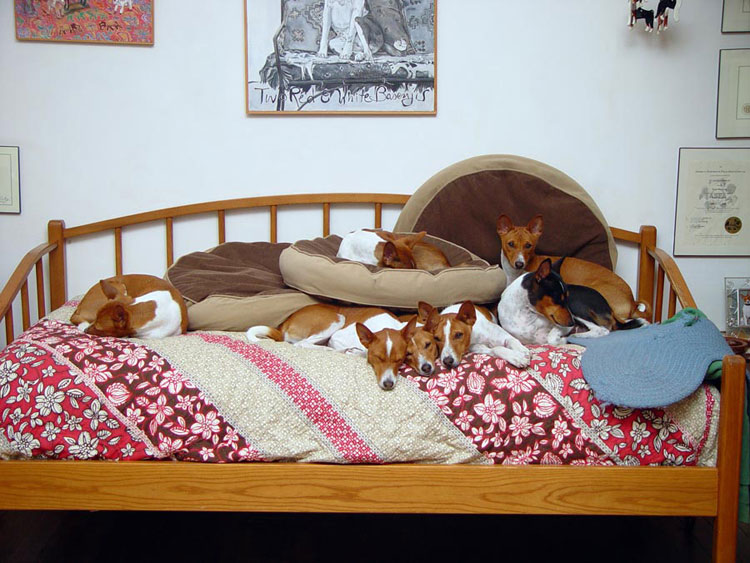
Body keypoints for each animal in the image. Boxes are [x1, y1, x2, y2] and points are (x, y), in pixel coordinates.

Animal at [246, 303, 437, 390]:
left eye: (400, 360)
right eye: (378, 358)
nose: (389, 384)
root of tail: (284, 324)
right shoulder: (337, 338)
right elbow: (361, 351)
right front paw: (353, 351)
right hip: (337, 319)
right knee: (302, 344)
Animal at [497, 258, 645, 346]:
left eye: (565, 298)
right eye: (558, 298)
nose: (572, 323)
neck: (528, 315)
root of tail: (609, 307)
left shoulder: (562, 326)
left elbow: (552, 339)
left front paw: (563, 339)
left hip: (577, 306)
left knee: (602, 330)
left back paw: (578, 335)